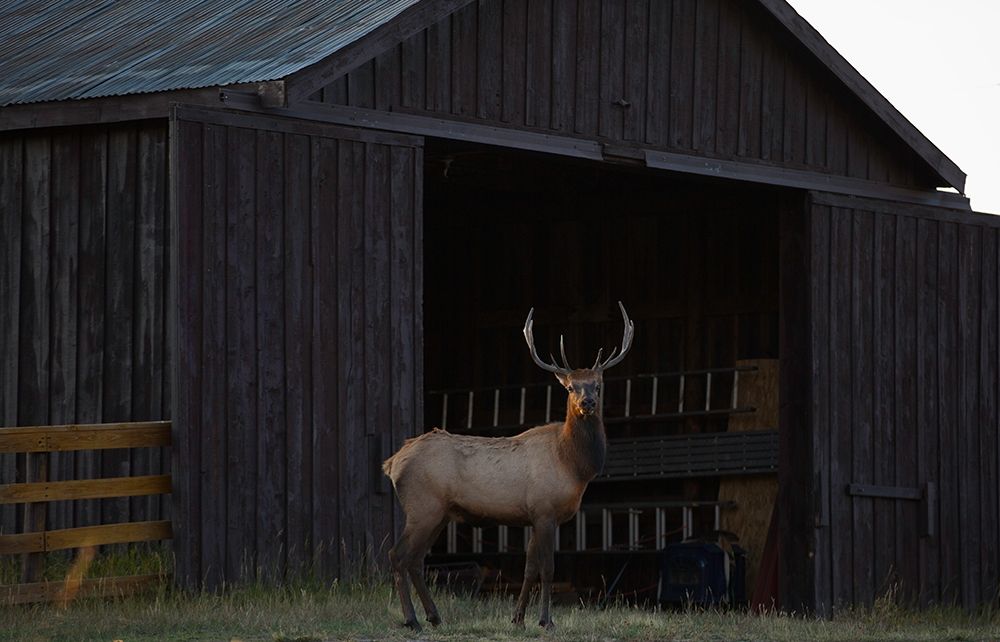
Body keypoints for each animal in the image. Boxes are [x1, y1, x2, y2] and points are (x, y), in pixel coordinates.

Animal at [382, 302, 632, 628]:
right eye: (570, 388)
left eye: (598, 385)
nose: (587, 403)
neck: (572, 466)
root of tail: (392, 463)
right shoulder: (545, 509)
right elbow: (548, 568)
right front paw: (545, 621)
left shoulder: (533, 516)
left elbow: (529, 568)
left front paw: (518, 618)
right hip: (423, 506)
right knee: (398, 555)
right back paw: (412, 620)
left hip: (439, 513)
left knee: (416, 559)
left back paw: (435, 616)